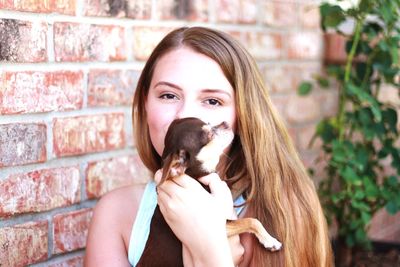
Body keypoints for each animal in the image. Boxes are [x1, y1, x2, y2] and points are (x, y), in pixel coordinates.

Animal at [136, 118, 280, 267]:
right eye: (210, 136)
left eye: (209, 122)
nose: (225, 123)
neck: (195, 176)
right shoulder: (218, 226)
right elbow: (251, 221)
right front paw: (270, 240)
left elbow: (234, 185)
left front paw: (251, 174)